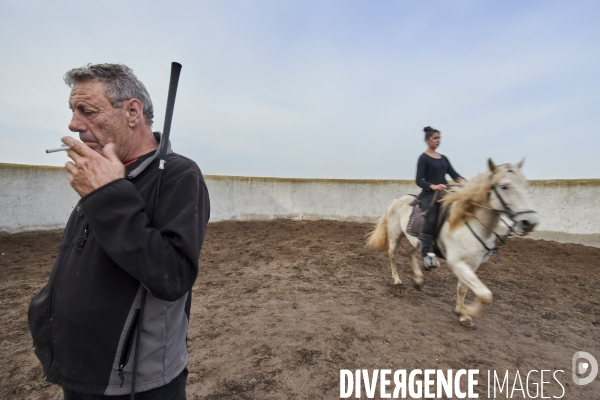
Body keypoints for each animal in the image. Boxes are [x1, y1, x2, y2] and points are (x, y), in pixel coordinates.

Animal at [366, 159, 540, 324]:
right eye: (504, 186)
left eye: (525, 185)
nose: (529, 222)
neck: (469, 223)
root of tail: (397, 200)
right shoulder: (456, 262)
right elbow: (485, 294)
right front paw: (468, 311)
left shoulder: (471, 264)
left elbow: (463, 289)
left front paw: (462, 314)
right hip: (395, 235)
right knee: (393, 255)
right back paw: (397, 280)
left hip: (416, 241)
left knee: (409, 252)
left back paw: (418, 280)